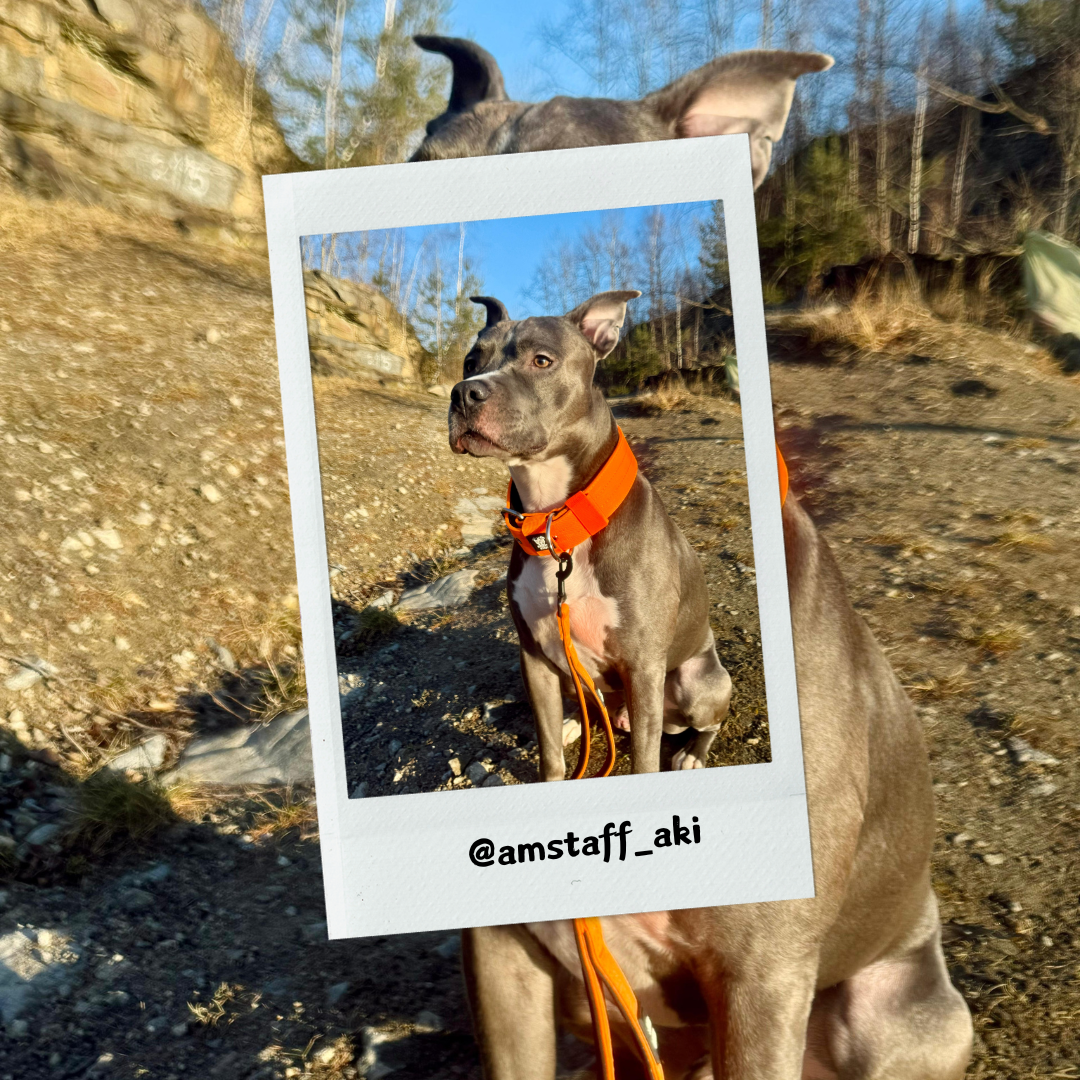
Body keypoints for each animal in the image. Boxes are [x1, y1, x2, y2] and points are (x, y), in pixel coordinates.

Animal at [424, 36, 974, 1080]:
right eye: (476, 352)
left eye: (540, 359)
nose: (466, 391)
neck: (559, 522)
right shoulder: (508, 953)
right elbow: (552, 736)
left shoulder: (761, 980)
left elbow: (642, 739)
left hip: (899, 1008)